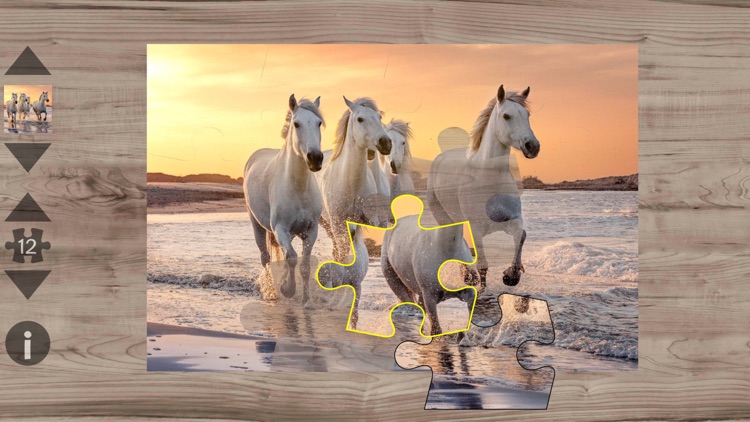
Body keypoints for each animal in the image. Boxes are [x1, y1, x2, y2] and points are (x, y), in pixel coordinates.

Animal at [243, 94, 325, 300]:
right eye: (296, 124)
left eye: (319, 123)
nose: (315, 158)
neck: (298, 188)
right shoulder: (281, 229)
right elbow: (292, 258)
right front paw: (288, 288)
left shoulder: (311, 230)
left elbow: (304, 264)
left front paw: (306, 300)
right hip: (257, 224)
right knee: (265, 258)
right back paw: (273, 290)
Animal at [316, 96, 392, 327]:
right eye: (360, 119)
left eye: (379, 117)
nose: (386, 143)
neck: (351, 182)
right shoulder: (338, 222)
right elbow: (343, 256)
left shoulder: (369, 222)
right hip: (326, 223)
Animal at [427, 84, 540, 291]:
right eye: (506, 116)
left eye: (527, 114)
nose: (532, 146)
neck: (489, 179)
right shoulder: (476, 227)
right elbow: (483, 265)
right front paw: (481, 286)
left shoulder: (511, 219)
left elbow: (521, 235)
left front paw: (512, 275)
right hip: (444, 217)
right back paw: (468, 276)